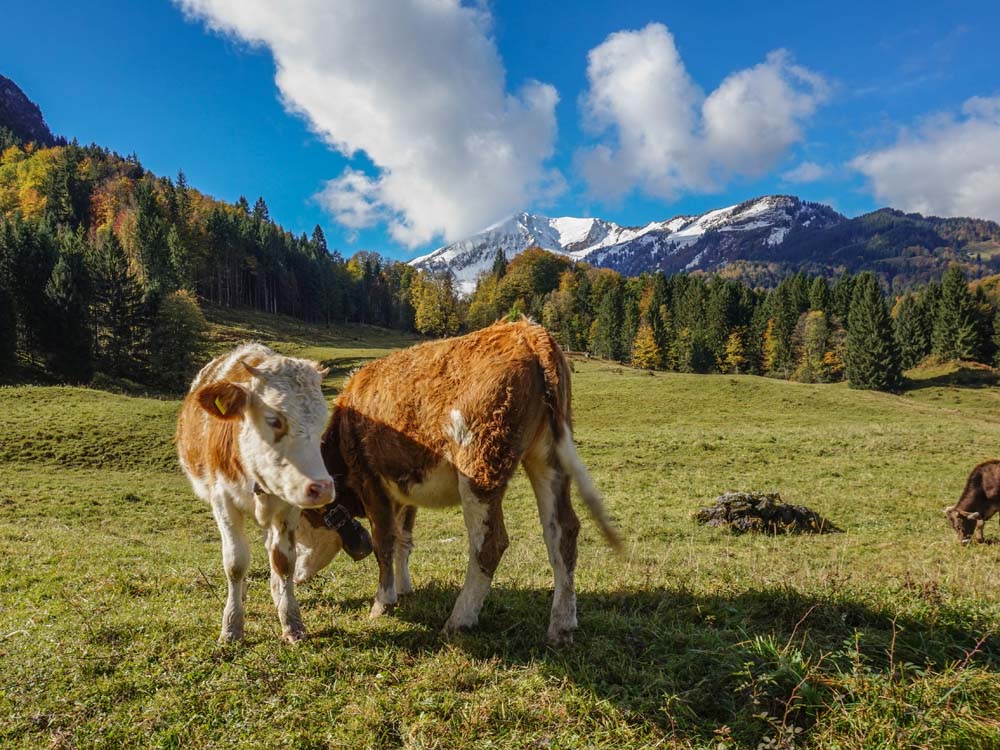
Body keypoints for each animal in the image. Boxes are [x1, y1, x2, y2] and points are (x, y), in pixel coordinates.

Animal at [178, 344, 334, 644]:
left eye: (323, 422)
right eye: (274, 420)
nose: (322, 488)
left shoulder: (288, 505)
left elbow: (284, 561)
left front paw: (291, 620)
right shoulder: (223, 502)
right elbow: (235, 563)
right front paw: (231, 625)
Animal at [292, 320, 620, 644]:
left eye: (297, 529)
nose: (294, 574)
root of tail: (527, 331)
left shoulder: (370, 480)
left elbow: (383, 542)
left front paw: (382, 603)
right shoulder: (404, 489)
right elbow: (403, 539)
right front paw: (404, 589)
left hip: (480, 467)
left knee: (490, 543)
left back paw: (460, 620)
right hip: (548, 457)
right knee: (562, 532)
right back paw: (561, 626)